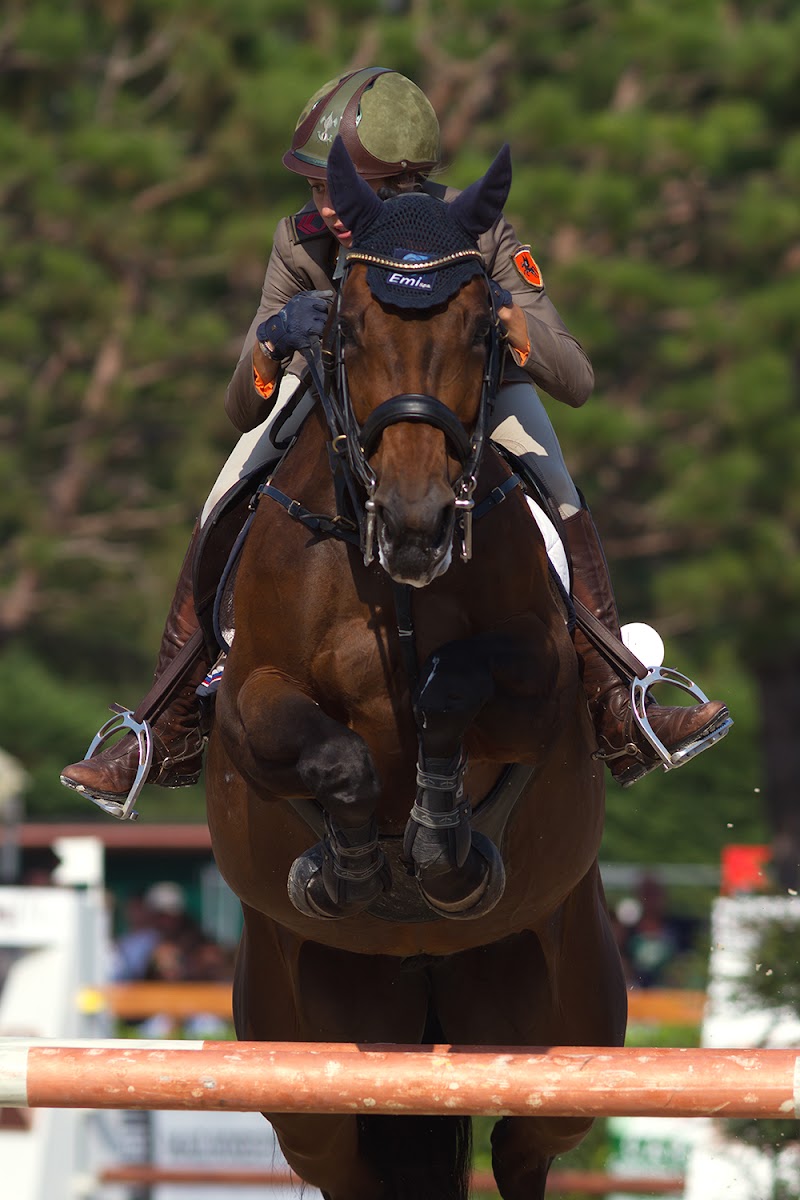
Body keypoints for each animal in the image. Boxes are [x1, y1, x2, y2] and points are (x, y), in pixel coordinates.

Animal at [203, 136, 628, 1200]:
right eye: (346, 328)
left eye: (482, 329)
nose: (417, 521)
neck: (386, 583)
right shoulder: (249, 710)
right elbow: (334, 756)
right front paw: (353, 870)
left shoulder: (541, 686)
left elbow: (456, 687)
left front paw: (441, 848)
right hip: (304, 1065)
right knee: (346, 1158)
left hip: (564, 1028)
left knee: (527, 1144)